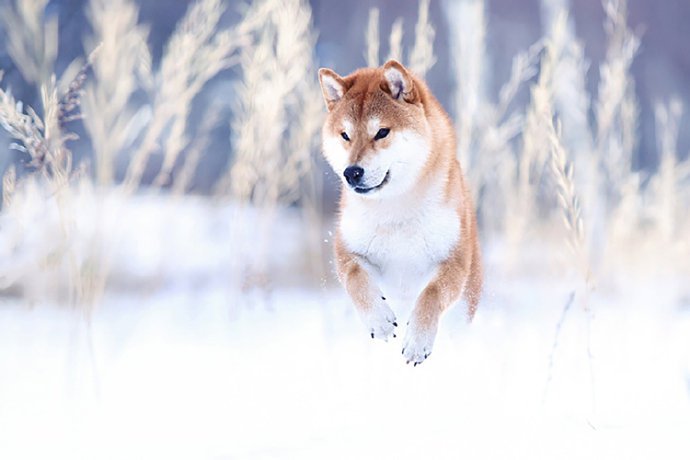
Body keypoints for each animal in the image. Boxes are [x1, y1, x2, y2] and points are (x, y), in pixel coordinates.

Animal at [316, 59, 478, 364]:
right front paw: (379, 322)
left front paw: (417, 342)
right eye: (345, 135)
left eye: (381, 132)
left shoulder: (453, 259)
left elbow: (431, 293)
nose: (352, 172)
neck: (395, 209)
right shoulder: (348, 250)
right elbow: (356, 279)